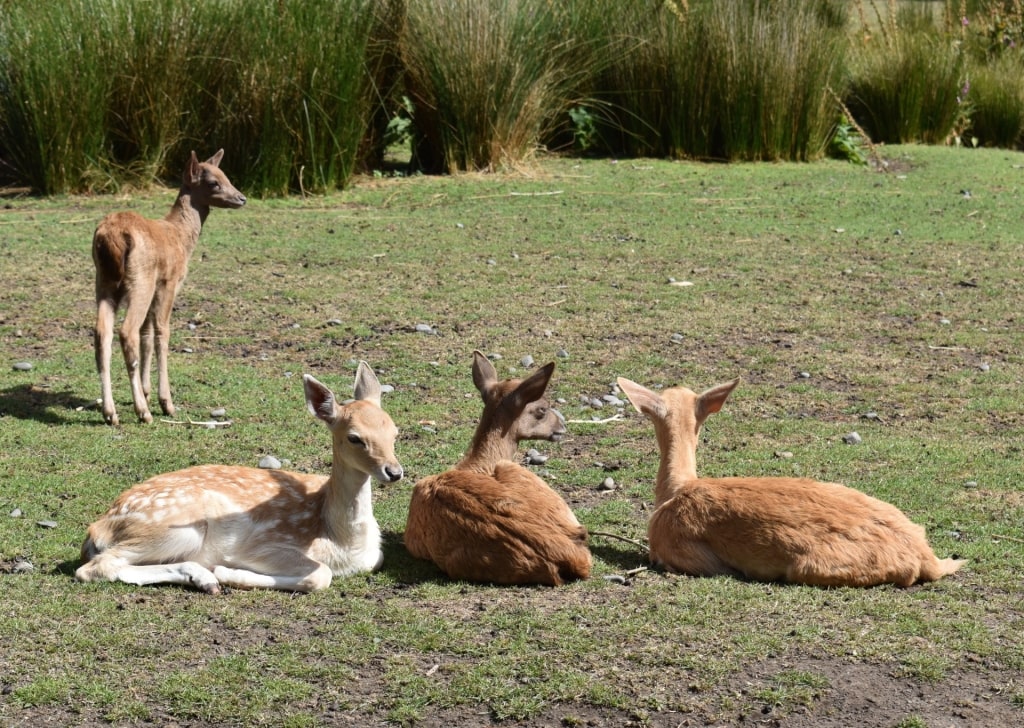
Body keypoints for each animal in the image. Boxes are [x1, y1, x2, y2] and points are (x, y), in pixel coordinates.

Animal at [75, 362, 401, 593]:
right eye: (354, 437)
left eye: (394, 431)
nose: (394, 472)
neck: (346, 543)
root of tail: (97, 529)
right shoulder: (264, 545)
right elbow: (321, 574)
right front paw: (229, 572)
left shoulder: (374, 557)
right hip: (173, 527)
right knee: (94, 568)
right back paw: (209, 575)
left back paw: (203, 579)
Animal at [93, 149, 245, 427]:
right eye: (213, 182)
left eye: (225, 175)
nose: (242, 198)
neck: (182, 237)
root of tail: (111, 239)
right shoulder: (170, 282)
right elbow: (162, 332)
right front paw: (166, 403)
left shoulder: (155, 287)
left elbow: (146, 334)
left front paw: (146, 391)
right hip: (139, 281)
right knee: (126, 331)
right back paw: (144, 412)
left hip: (104, 281)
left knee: (103, 333)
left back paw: (111, 413)